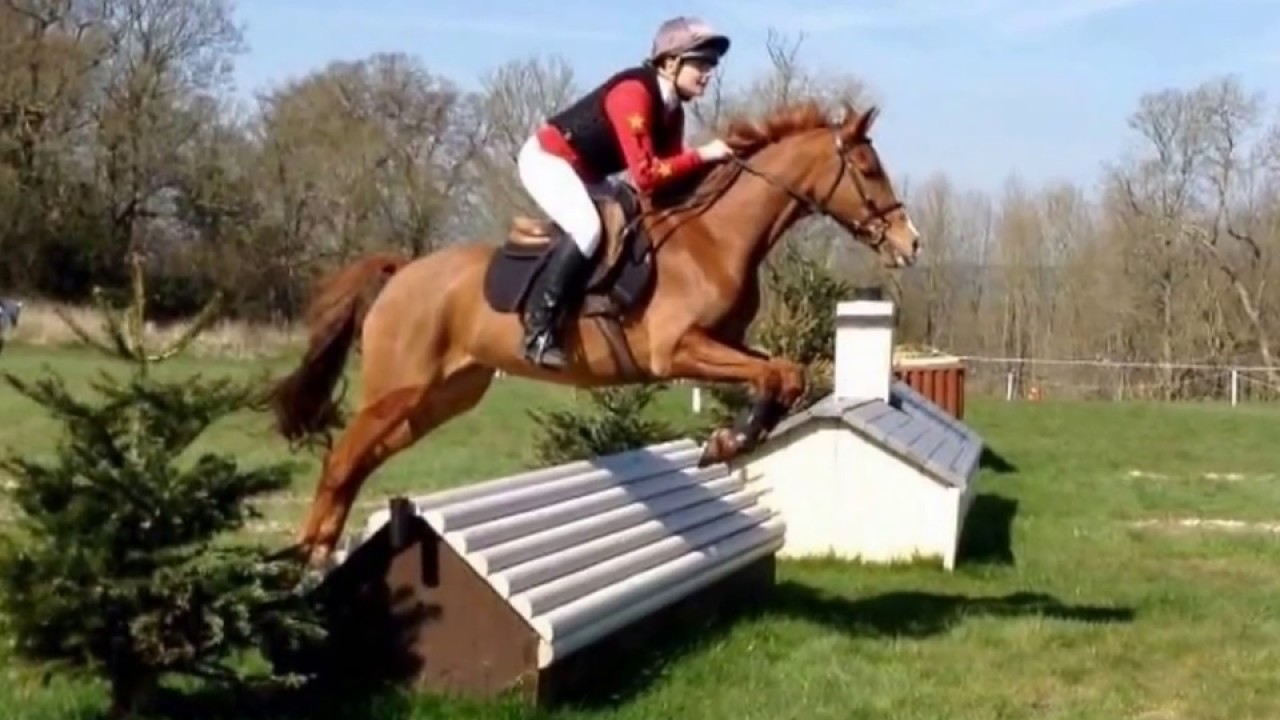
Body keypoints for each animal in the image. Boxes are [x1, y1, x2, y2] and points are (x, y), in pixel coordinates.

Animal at [263, 98, 923, 569]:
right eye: (869, 169)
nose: (909, 242)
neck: (715, 237)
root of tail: (402, 273)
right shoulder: (676, 351)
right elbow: (780, 372)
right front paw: (730, 440)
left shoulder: (723, 344)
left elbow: (785, 371)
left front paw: (729, 439)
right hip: (397, 388)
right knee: (343, 455)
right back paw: (311, 549)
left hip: (441, 398)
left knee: (363, 457)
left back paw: (323, 546)